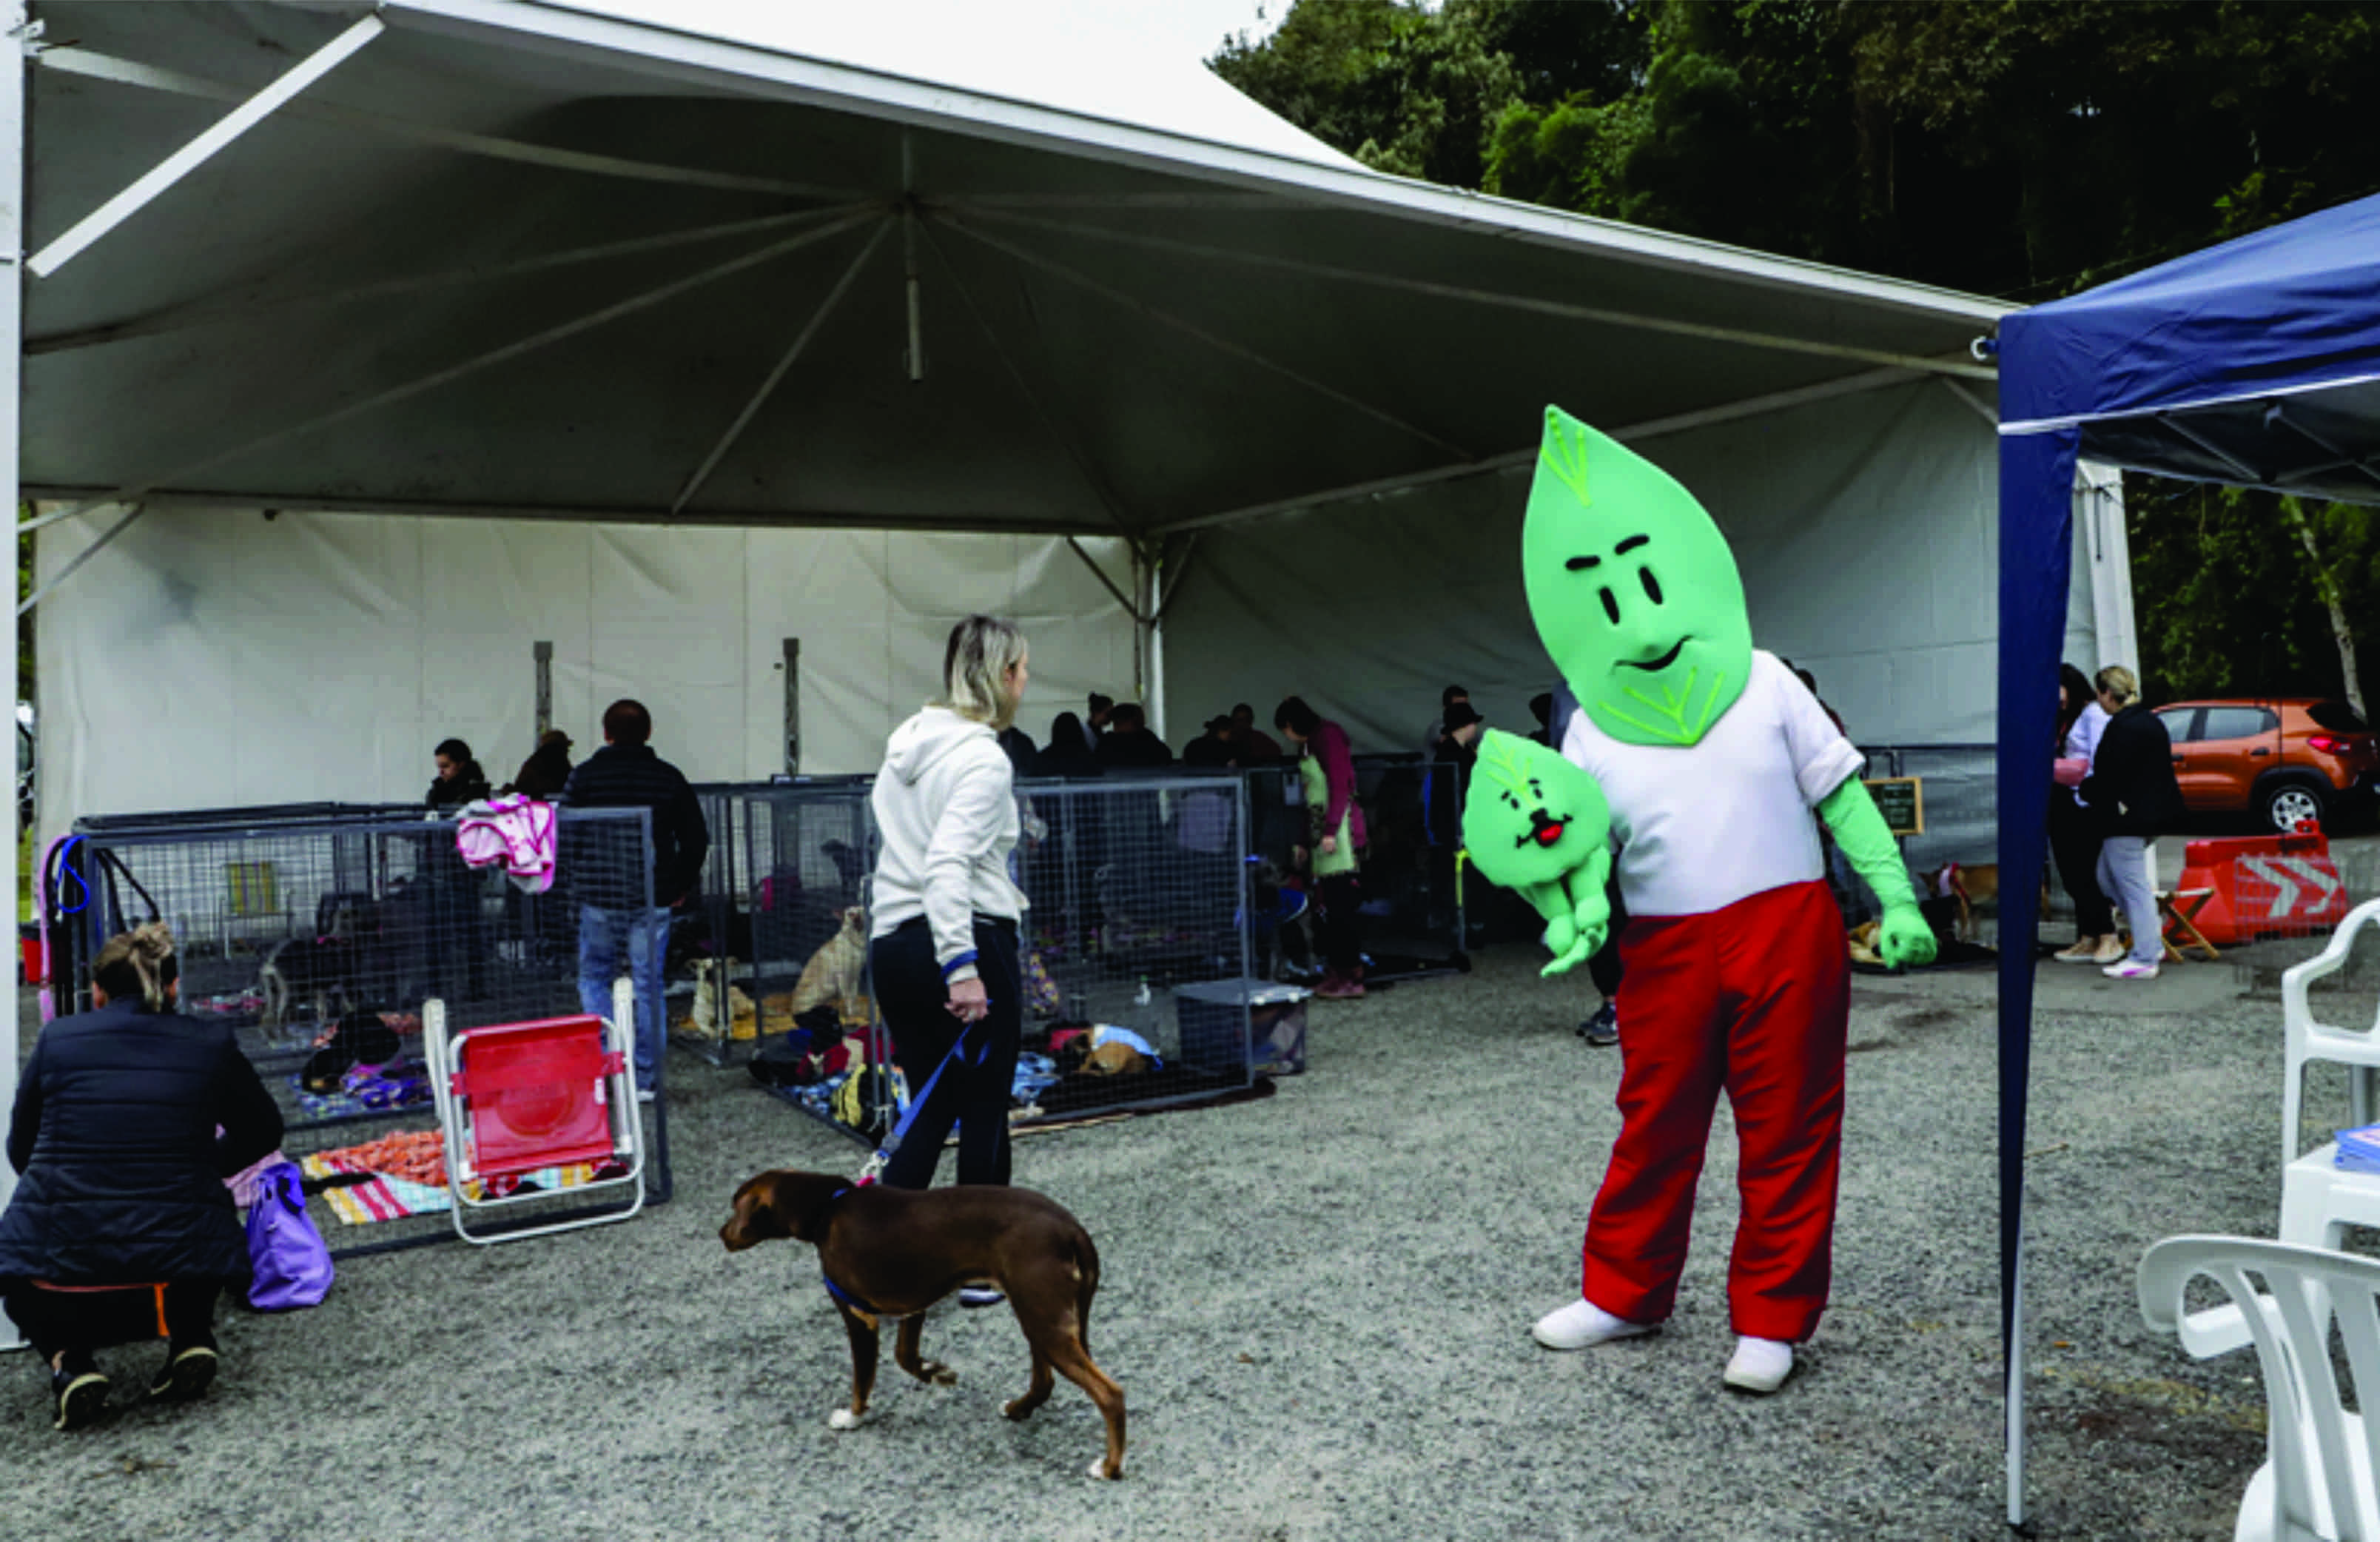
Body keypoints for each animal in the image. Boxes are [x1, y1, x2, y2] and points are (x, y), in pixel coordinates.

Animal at [713, 1170, 1123, 1484]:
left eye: (734, 1208)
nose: (721, 1233)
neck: (827, 1207)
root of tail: (1072, 1230)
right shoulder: (913, 1304)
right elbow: (905, 1357)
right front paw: (936, 1373)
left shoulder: (858, 1315)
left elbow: (863, 1379)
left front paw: (853, 1417)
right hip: (1037, 1317)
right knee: (1044, 1381)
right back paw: (1018, 1409)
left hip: (1043, 1319)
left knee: (1110, 1395)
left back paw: (1109, 1467)